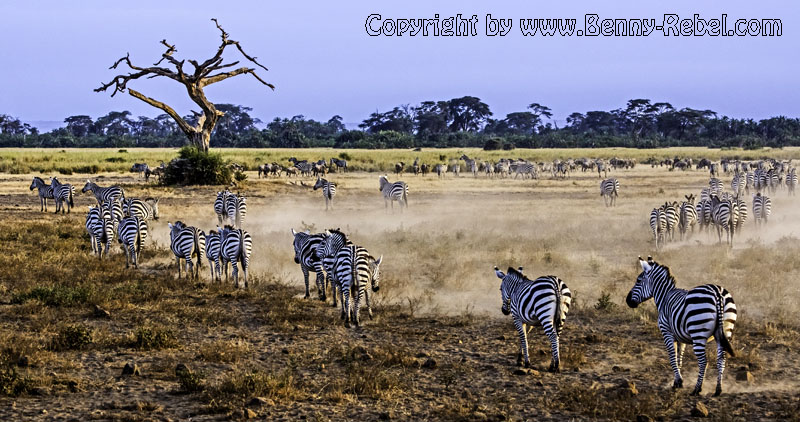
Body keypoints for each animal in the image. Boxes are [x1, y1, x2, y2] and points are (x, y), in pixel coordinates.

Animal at [624, 256, 736, 398]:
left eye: (638, 280)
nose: (627, 301)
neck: (664, 297)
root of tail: (718, 293)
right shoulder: (680, 338)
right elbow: (679, 359)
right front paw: (677, 382)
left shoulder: (666, 332)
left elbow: (672, 357)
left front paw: (678, 382)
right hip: (725, 331)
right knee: (721, 359)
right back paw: (718, 390)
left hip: (698, 333)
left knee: (703, 361)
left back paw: (696, 389)